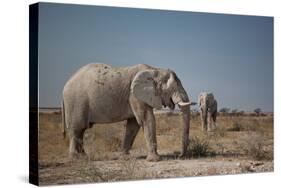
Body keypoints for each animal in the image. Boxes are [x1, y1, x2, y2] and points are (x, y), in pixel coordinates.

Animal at [61, 63, 192, 162]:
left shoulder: (135, 96)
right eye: (174, 88)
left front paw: (124, 157)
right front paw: (155, 160)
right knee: (77, 129)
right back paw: (77, 159)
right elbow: (146, 119)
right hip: (76, 102)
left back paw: (84, 156)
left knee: (80, 131)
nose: (180, 156)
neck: (155, 70)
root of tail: (66, 84)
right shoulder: (134, 95)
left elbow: (133, 125)